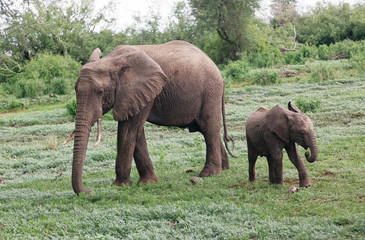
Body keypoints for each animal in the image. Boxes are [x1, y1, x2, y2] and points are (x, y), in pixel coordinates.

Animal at [66, 40, 233, 194]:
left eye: (100, 92)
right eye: (75, 89)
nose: (89, 191)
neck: (111, 60)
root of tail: (219, 73)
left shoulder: (140, 90)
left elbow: (128, 131)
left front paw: (120, 186)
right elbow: (136, 132)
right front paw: (148, 182)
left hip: (210, 91)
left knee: (209, 127)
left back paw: (209, 174)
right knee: (205, 129)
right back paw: (224, 169)